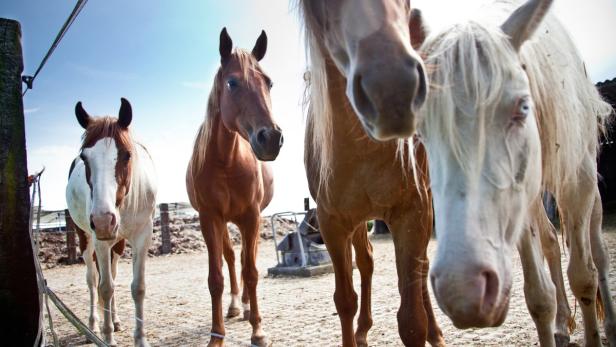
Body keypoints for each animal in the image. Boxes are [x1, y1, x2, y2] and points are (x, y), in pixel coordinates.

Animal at [64, 98, 156, 347]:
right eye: (85, 158)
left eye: (127, 155)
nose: (103, 221)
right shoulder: (100, 240)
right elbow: (104, 288)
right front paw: (107, 337)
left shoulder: (142, 236)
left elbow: (138, 288)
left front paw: (140, 339)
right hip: (86, 239)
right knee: (92, 279)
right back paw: (94, 324)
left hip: (118, 244)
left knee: (112, 275)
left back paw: (115, 320)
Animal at [184, 27, 282, 347]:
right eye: (232, 82)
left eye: (269, 82)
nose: (271, 138)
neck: (226, 161)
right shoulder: (209, 218)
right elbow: (216, 277)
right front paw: (217, 336)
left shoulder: (252, 216)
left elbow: (251, 271)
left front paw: (258, 330)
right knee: (230, 257)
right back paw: (236, 305)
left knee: (245, 258)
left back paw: (249, 308)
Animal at [300, 1, 442, 346]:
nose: (391, 88)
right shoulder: (333, 222)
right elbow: (345, 300)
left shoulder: (413, 211)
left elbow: (412, 320)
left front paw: (426, 328)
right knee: (365, 261)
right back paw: (364, 328)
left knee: (420, 271)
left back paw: (436, 332)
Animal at [418, 0, 616, 347]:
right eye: (420, 128)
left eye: (523, 107)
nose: (462, 291)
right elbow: (539, 297)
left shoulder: (577, 184)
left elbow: (583, 276)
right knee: (551, 243)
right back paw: (562, 325)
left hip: (587, 187)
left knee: (598, 255)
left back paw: (611, 327)